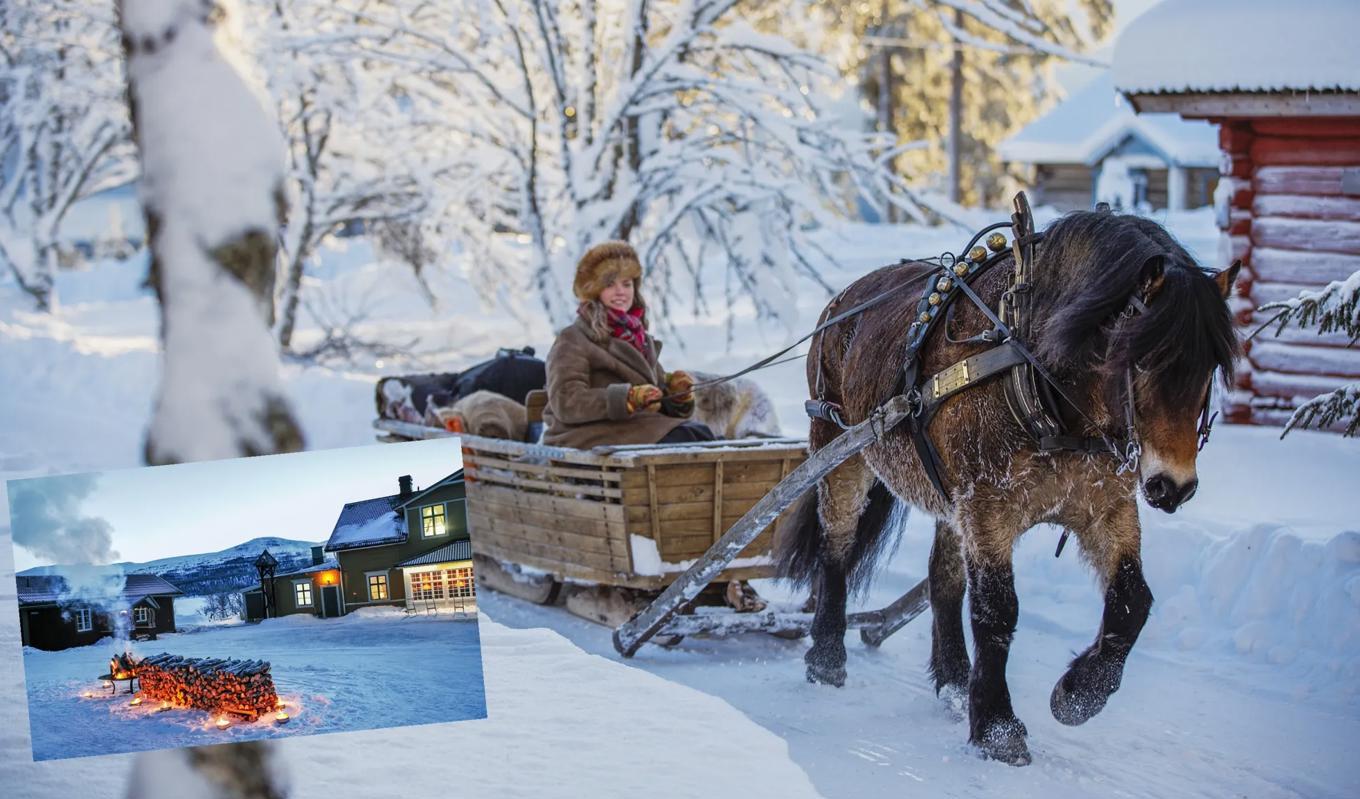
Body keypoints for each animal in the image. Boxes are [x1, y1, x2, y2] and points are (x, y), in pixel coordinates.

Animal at [783, 211, 1240, 766]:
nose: (1173, 486)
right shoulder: (988, 507)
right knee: (837, 549)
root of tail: (844, 299)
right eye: (1145, 357)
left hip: (947, 494)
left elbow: (1133, 600)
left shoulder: (1105, 505)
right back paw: (827, 657)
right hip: (839, 449)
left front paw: (1079, 694)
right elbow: (997, 611)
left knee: (942, 579)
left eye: (1210, 365)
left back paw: (954, 682)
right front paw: (998, 727)